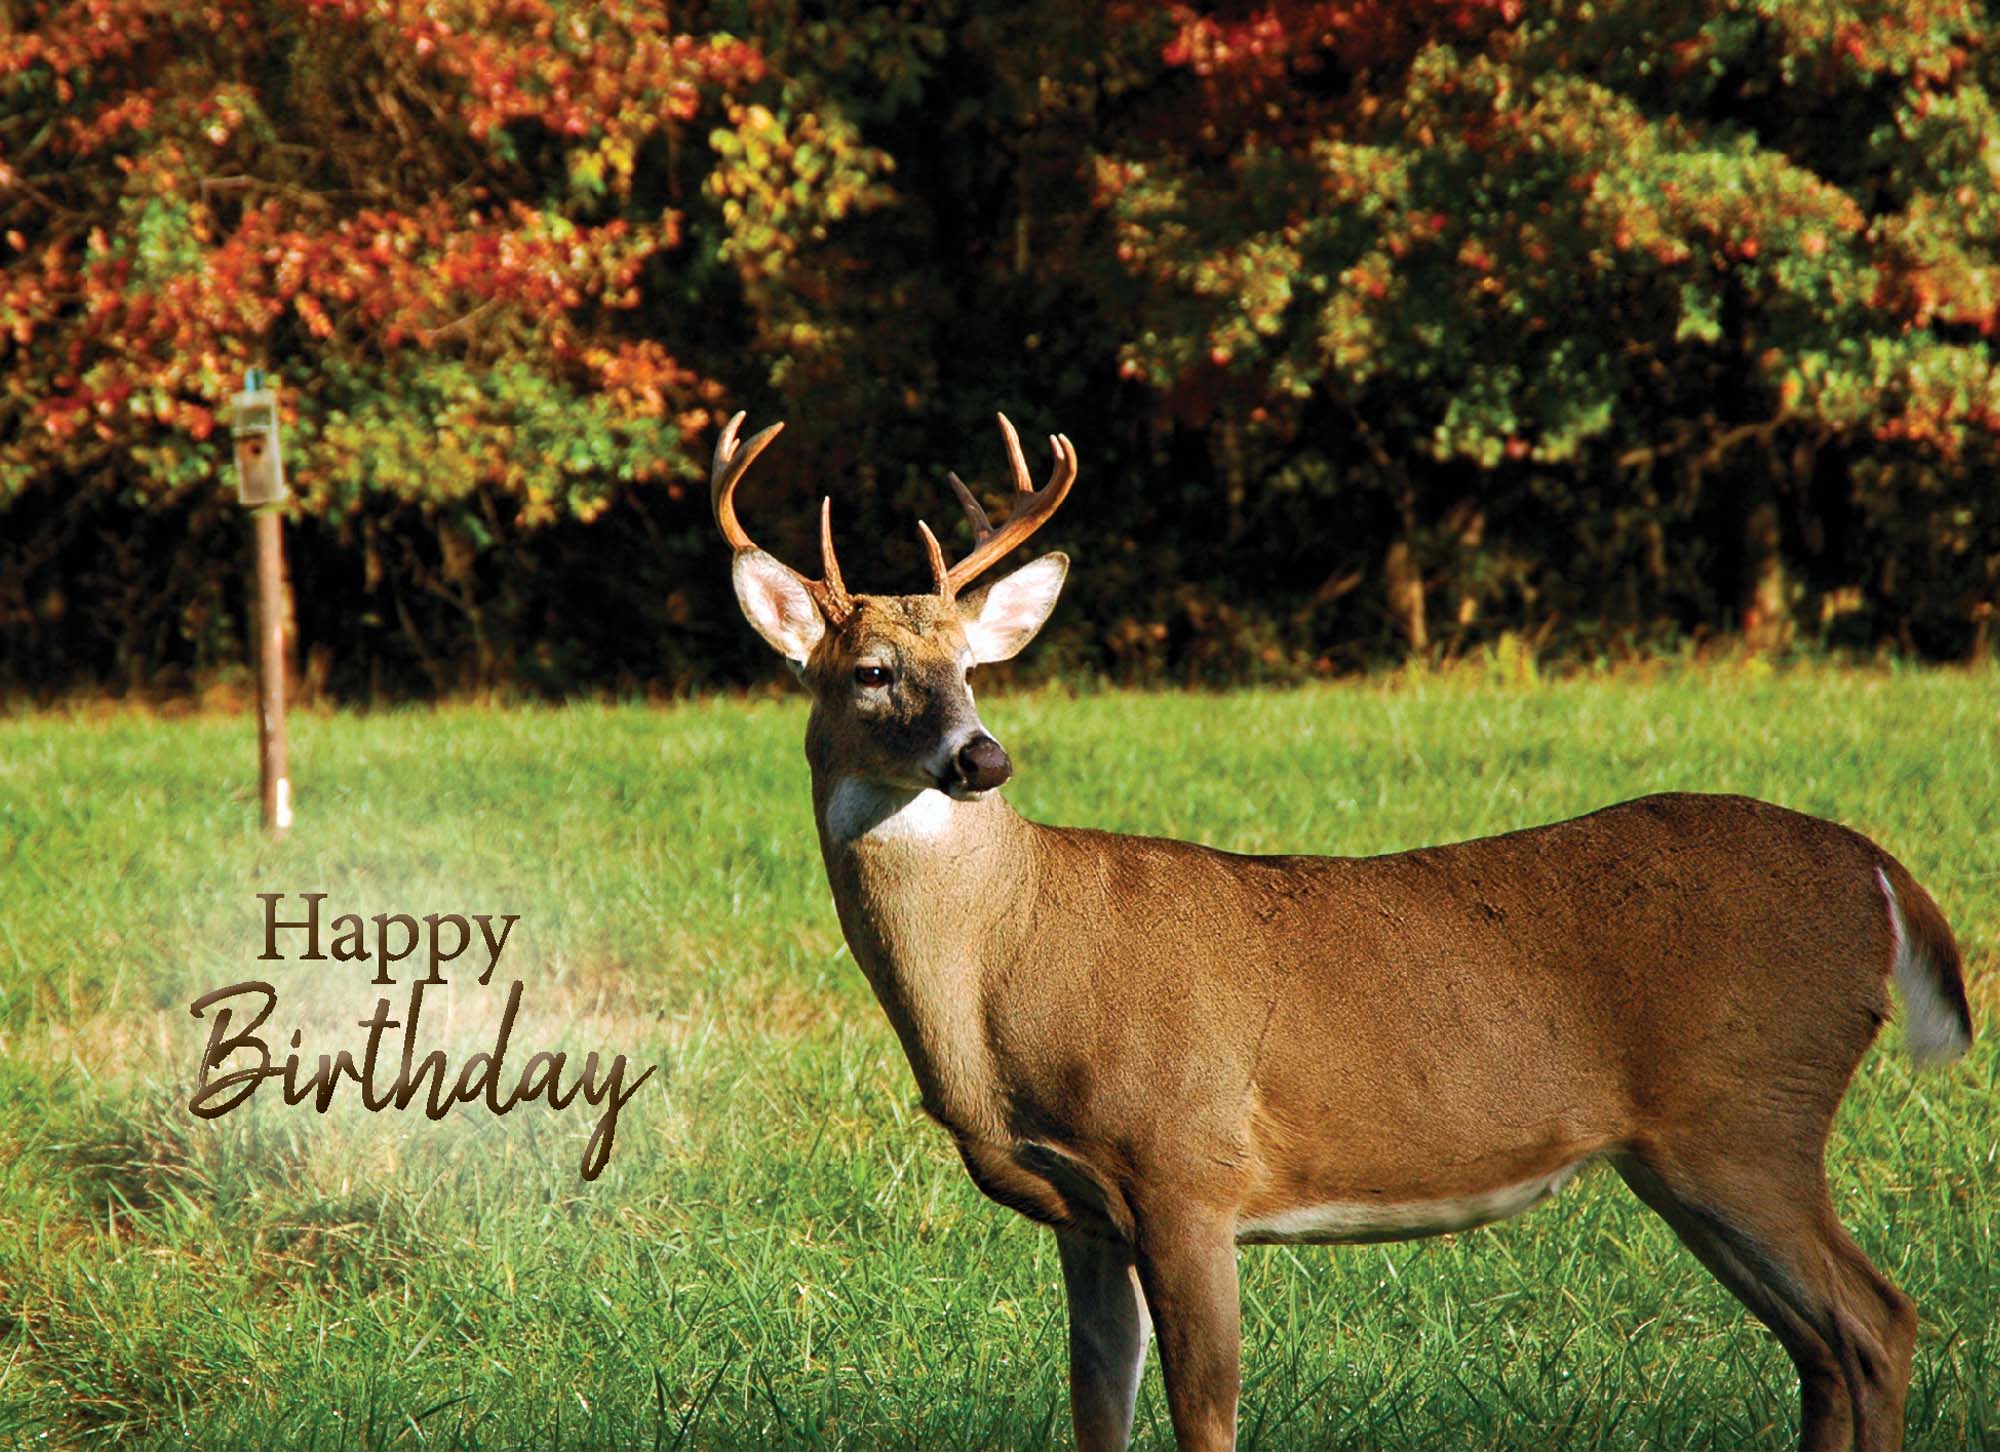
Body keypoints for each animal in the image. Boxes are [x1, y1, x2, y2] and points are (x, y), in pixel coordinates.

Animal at [710, 410, 1974, 1453]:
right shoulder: (1086, 1214)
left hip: (1747, 1112)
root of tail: (1879, 873)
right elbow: (1094, 1414)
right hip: (1689, 1150)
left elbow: (1204, 1416)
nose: (981, 757)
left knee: (1876, 1322)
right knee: (1823, 1351)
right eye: (872, 671)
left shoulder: (1187, 1162)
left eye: (973, 666)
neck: (1002, 972)